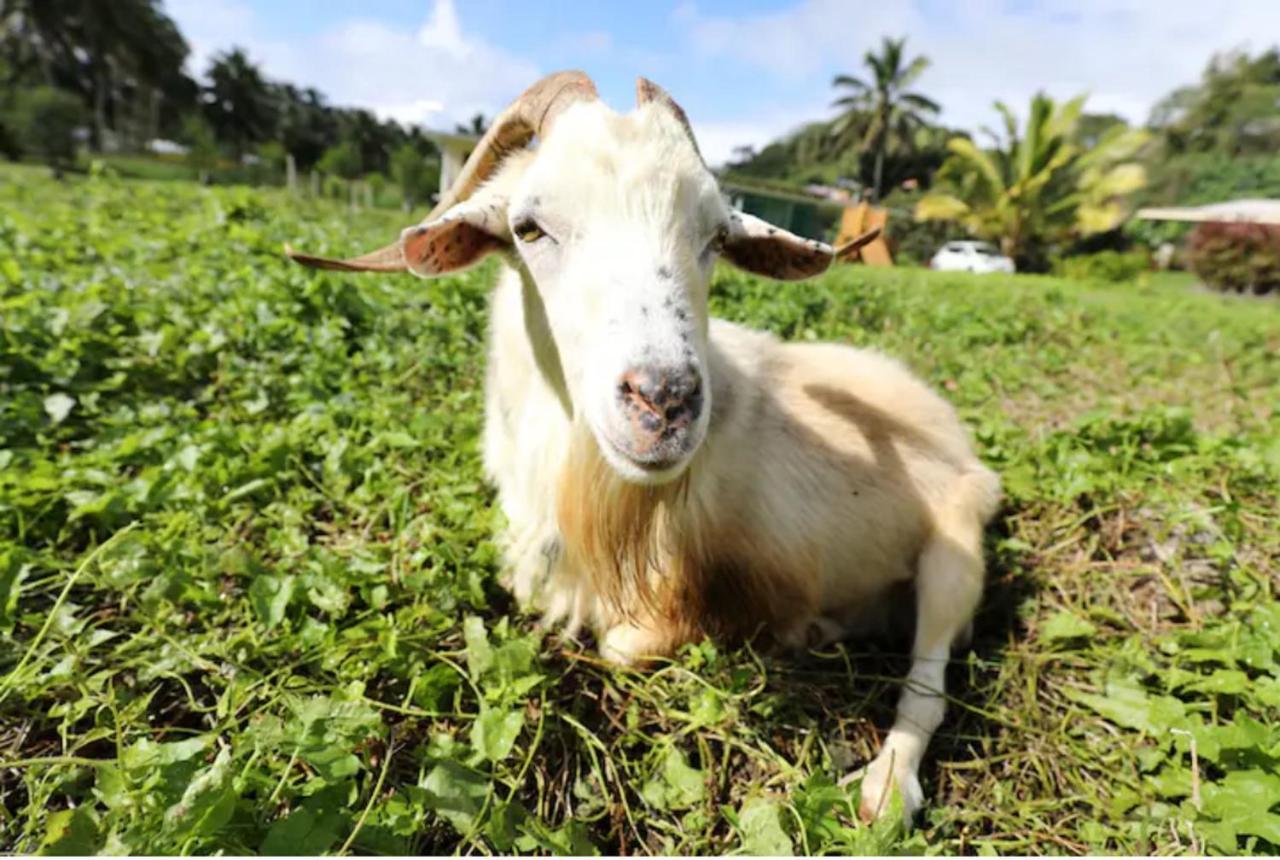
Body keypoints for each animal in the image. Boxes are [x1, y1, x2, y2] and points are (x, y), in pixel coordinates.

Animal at [290, 70, 998, 824]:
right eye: (529, 227)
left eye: (716, 235)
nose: (665, 400)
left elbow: (628, 642)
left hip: (954, 555)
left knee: (929, 685)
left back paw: (884, 789)